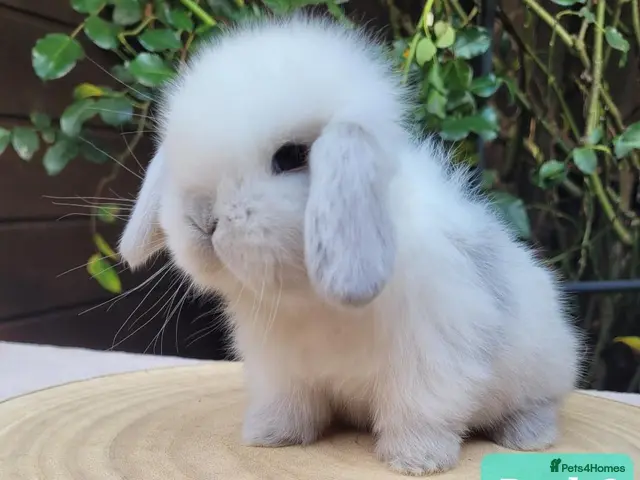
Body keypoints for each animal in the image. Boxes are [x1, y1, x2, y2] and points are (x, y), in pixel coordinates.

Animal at [118, 13, 584, 476]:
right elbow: (288, 405)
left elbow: (419, 412)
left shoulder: (429, 362)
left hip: (542, 369)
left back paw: (527, 436)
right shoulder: (281, 370)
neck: (309, 299)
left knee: (539, 405)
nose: (202, 220)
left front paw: (416, 459)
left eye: (291, 156)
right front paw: (270, 436)